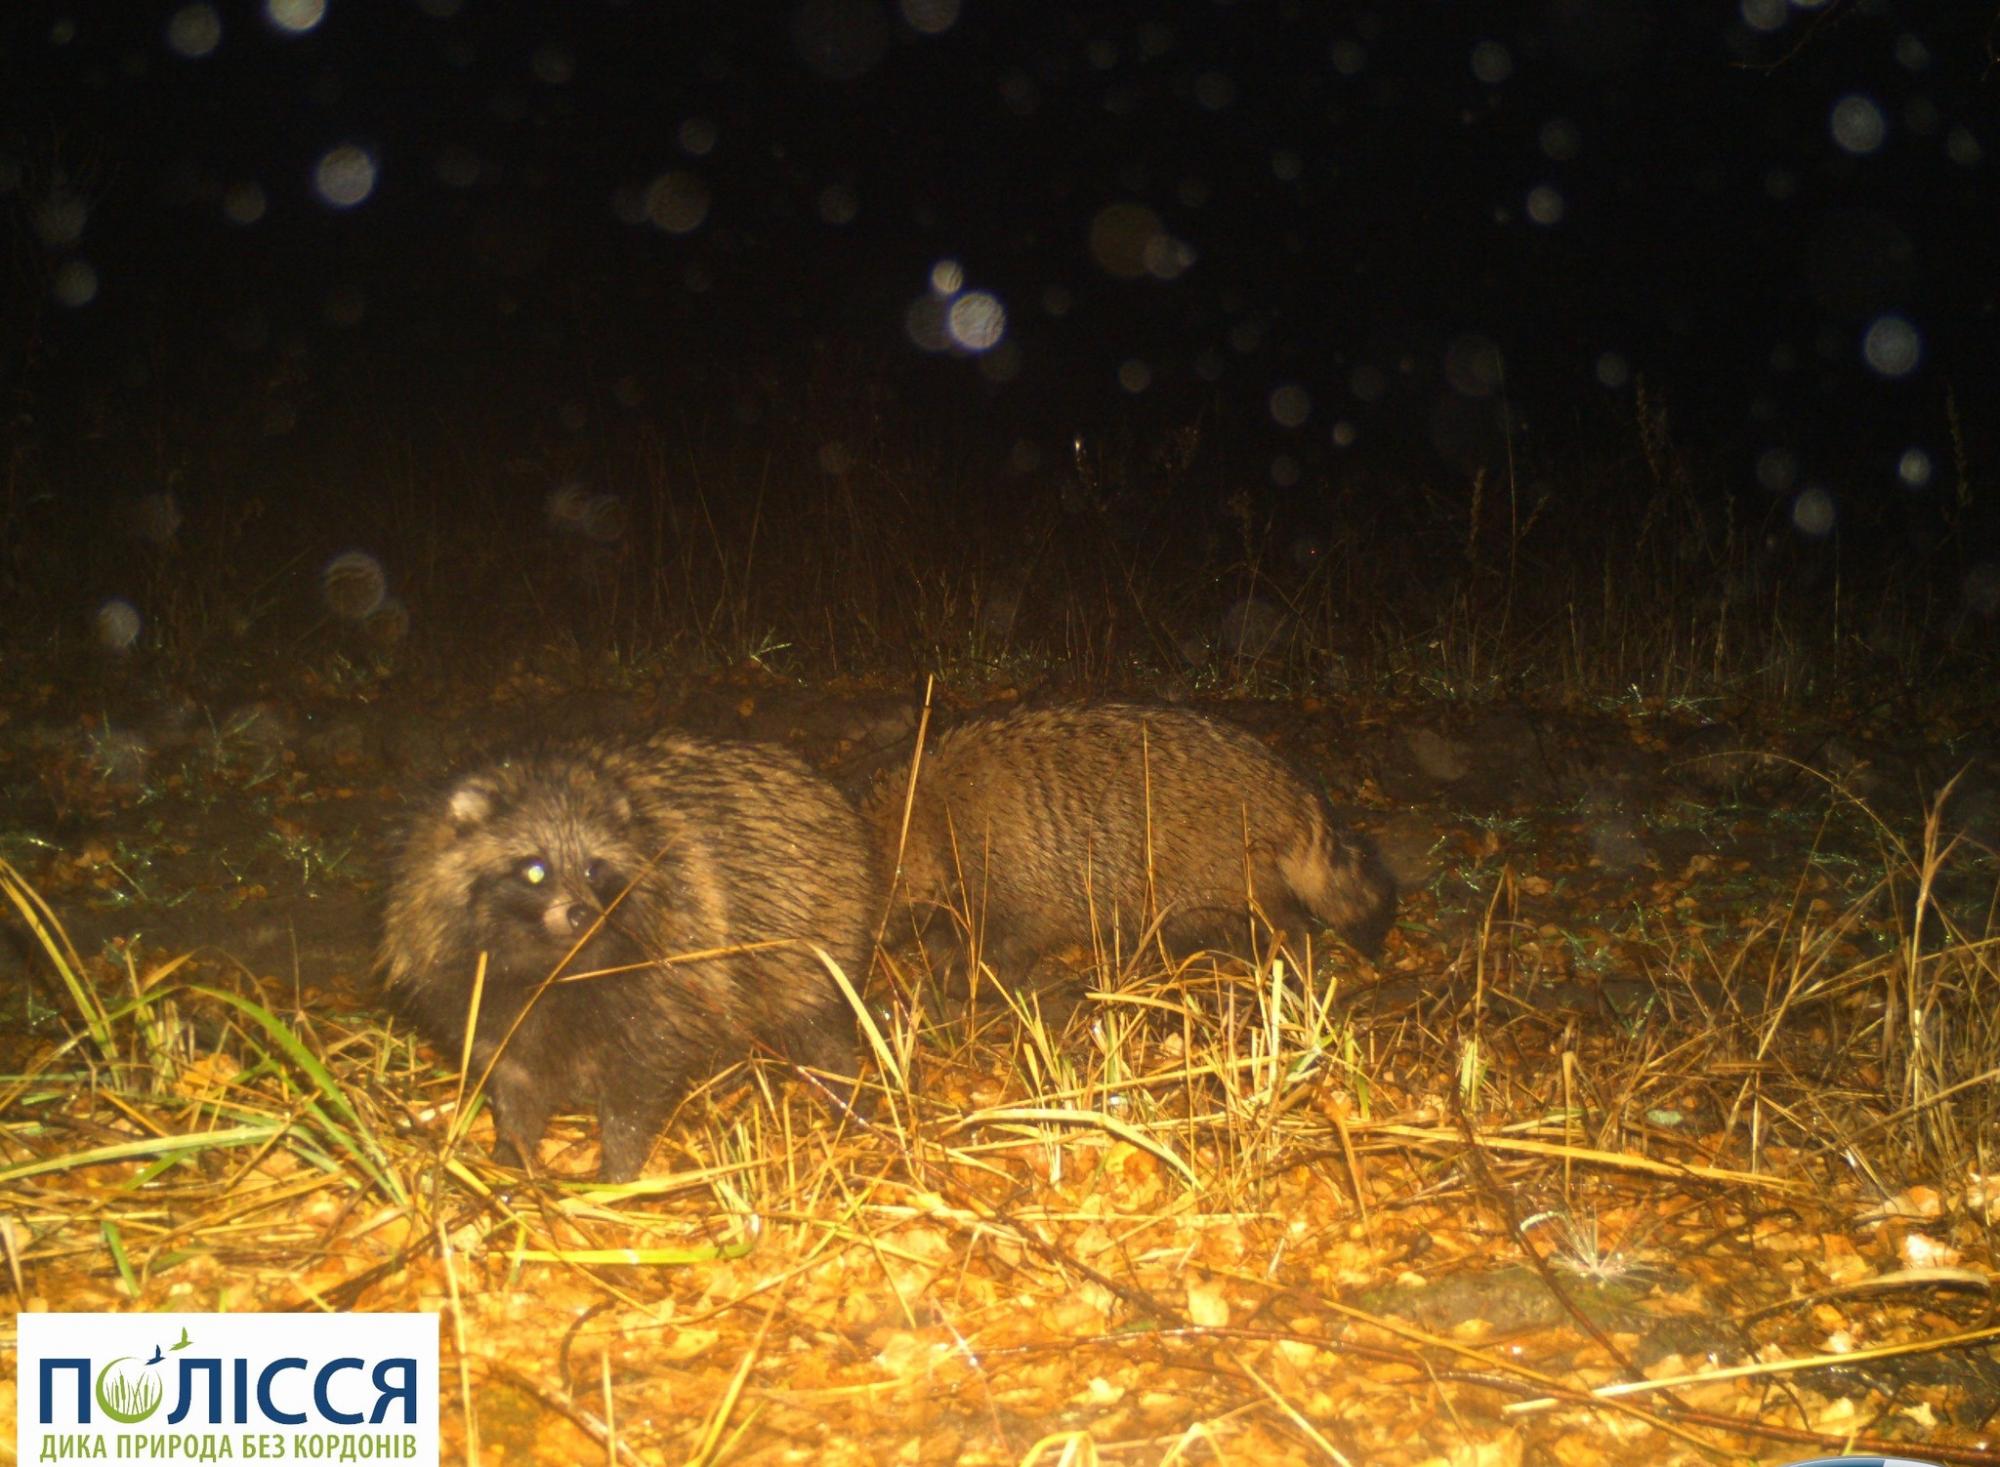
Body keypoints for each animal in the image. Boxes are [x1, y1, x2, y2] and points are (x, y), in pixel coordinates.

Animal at [380, 735, 876, 1183]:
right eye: (535, 869)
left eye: (593, 869)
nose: (583, 914)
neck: (550, 960)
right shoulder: (481, 996)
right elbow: (513, 1080)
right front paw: (512, 1154)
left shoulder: (661, 973)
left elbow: (634, 1087)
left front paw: (619, 1168)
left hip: (809, 925)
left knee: (812, 1017)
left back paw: (843, 1084)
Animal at [868, 707, 1400, 983]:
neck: (925, 812)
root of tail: (1279, 777)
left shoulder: (1013, 872)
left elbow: (1005, 939)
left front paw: (972, 975)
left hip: (1224, 862)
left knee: (1279, 920)